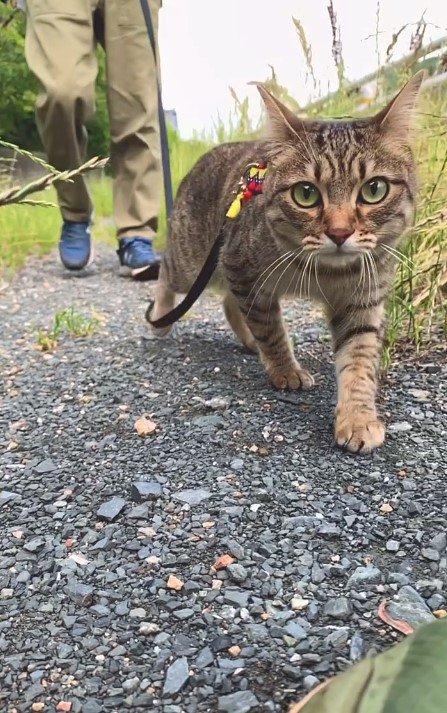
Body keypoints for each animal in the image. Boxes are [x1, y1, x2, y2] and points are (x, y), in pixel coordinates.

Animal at [150, 72, 424, 450]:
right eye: (305, 194)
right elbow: (270, 328)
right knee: (166, 273)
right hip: (193, 261)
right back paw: (161, 319)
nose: (339, 232)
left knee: (229, 304)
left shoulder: (363, 299)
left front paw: (358, 417)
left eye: (374, 190)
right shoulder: (243, 267)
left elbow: (359, 360)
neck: (325, 272)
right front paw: (285, 370)